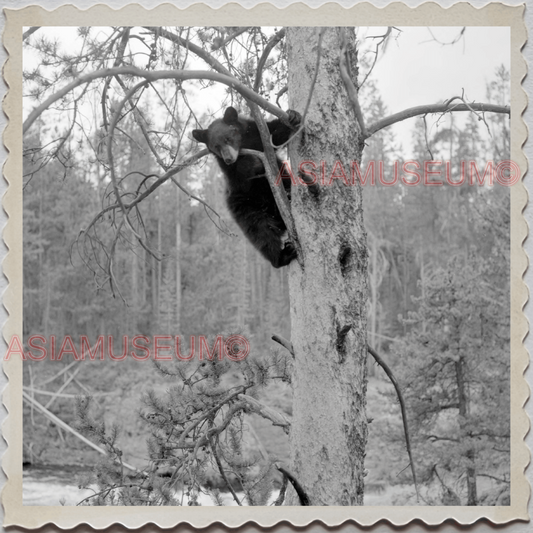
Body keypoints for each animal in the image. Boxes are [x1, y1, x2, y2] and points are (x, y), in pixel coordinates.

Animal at [191, 106, 300, 268]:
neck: (245, 144)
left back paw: (288, 195)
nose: (229, 158)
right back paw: (282, 256)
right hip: (245, 207)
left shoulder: (257, 134)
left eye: (228, 139)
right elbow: (241, 176)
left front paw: (293, 116)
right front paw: (250, 162)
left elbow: (275, 135)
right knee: (261, 233)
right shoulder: (230, 173)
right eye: (216, 146)